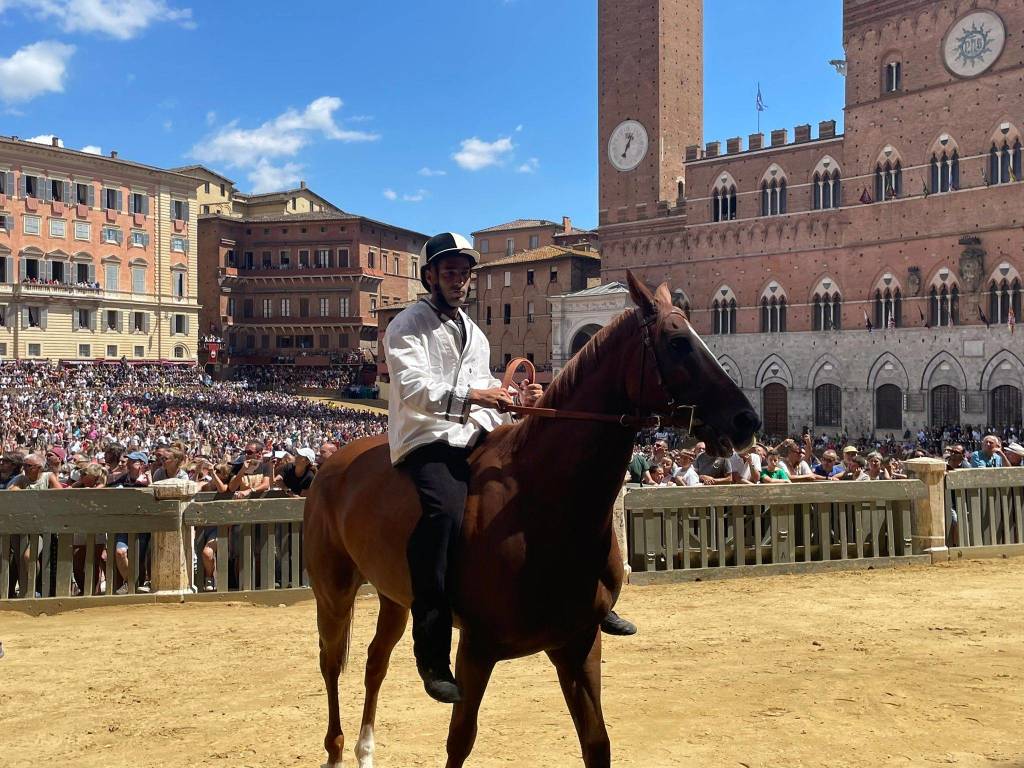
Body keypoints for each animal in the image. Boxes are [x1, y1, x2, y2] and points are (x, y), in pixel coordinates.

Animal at [303, 274, 761, 765]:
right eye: (678, 342)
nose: (746, 420)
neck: (538, 505)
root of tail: (331, 465)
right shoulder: (476, 650)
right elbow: (459, 742)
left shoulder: (578, 644)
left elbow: (597, 743)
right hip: (333, 591)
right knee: (330, 663)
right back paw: (336, 749)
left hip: (394, 595)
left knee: (375, 661)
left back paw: (366, 749)